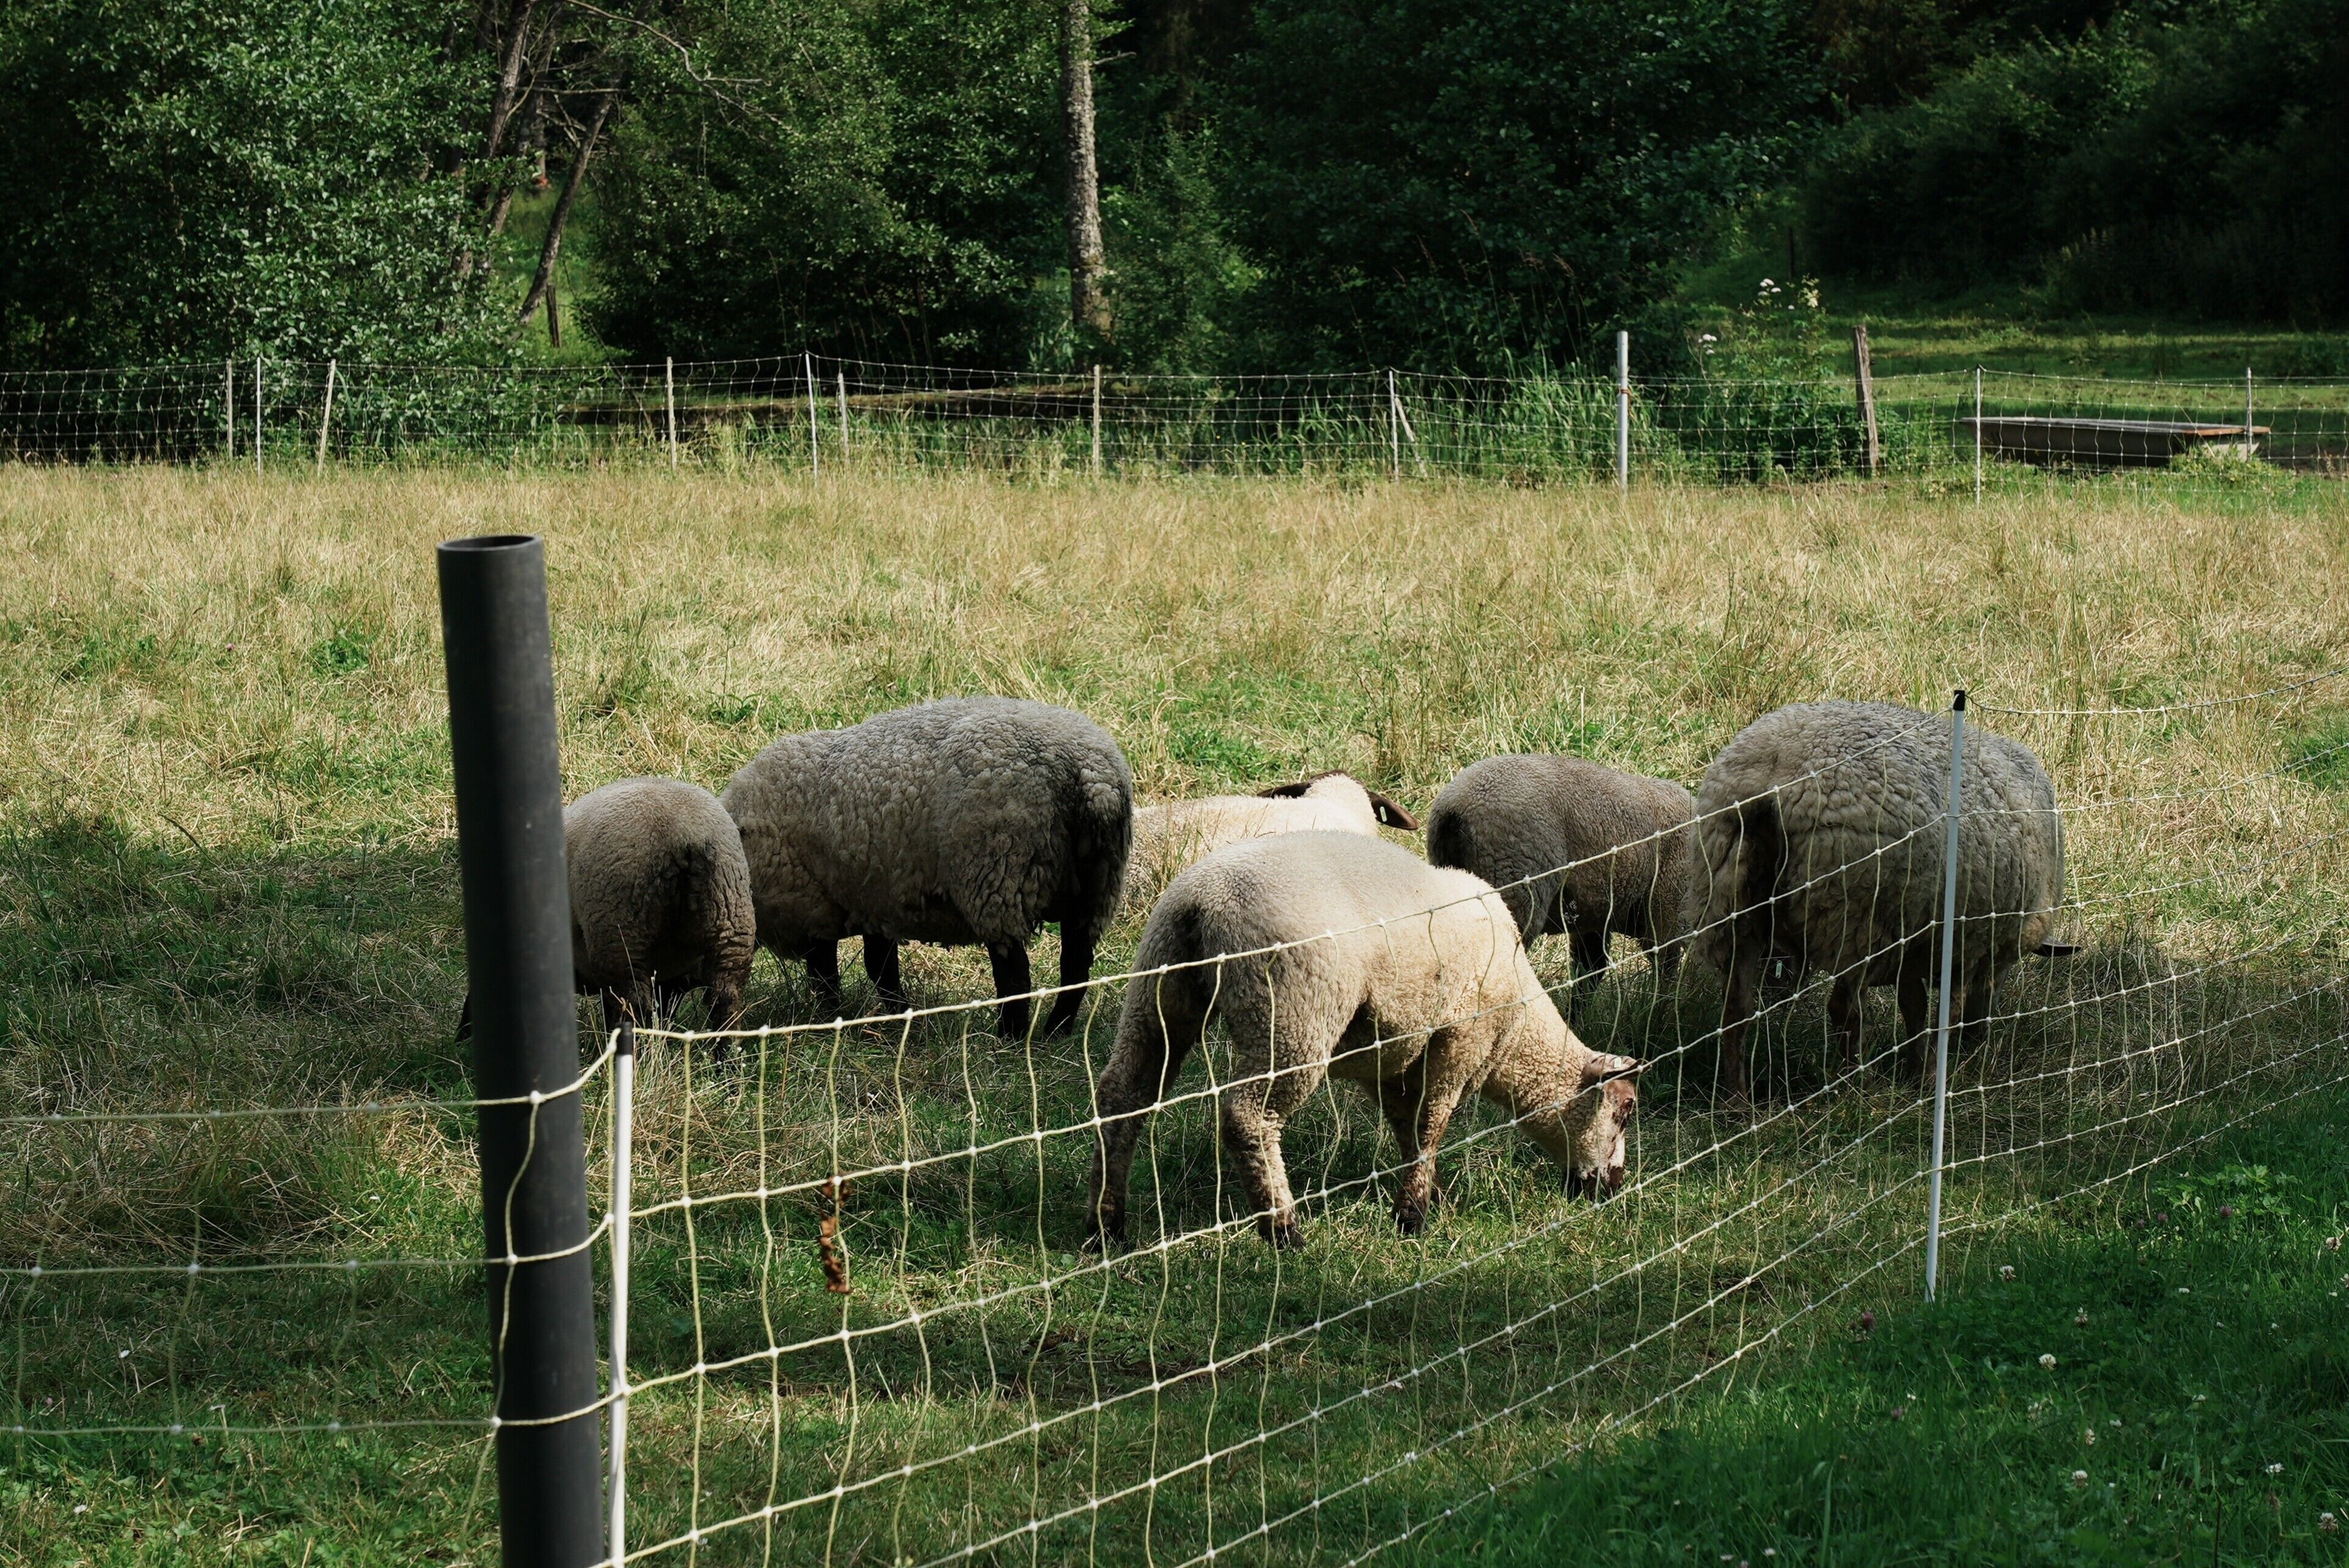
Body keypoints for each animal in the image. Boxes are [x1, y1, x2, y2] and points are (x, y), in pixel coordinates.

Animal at [456, 776, 755, 1041]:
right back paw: (727, 1064)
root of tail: (686, 838)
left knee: (634, 1006)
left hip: (619, 935)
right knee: (725, 1000)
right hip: (731, 925)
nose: (461, 1038)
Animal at [721, 697, 1133, 1039]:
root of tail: (1093, 777)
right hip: (1097, 886)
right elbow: (880, 965)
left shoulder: (814, 905)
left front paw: (829, 1017)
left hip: (998, 877)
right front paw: (897, 1015)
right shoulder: (877, 896)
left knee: (1015, 975)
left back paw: (1009, 1039)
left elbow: (828, 973)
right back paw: (1056, 1032)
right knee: (1076, 965)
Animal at [1087, 831, 1641, 1250]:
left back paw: (1106, 1224)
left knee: (1122, 1096)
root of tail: (1204, 900)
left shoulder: (1389, 1060)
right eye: (1626, 1109)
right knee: (1248, 1116)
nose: (1614, 1188)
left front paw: (1428, 1195)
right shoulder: (1459, 1038)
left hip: (1161, 987)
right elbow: (1433, 1123)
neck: (1516, 1032)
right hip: (1293, 1013)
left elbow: (1409, 1129)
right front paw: (1413, 1217)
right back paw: (1282, 1229)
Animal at [1425, 754, 1694, 1019]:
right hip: (1514, 887)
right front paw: (1664, 1011)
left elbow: (1589, 973)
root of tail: (1455, 806)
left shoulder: (1593, 919)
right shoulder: (1666, 909)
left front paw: (1577, 1022)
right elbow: (1666, 967)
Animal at [1689, 700, 2072, 1099]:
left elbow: (1914, 1006)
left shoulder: (1914, 936)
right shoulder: (1962, 941)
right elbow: (1942, 1011)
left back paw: (1737, 1100)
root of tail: (1774, 780)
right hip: (1854, 917)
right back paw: (1860, 1086)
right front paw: (1933, 1073)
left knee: (1736, 1007)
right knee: (1843, 1008)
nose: (1977, 1039)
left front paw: (1919, 1070)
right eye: (2006, 970)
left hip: (1729, 903)